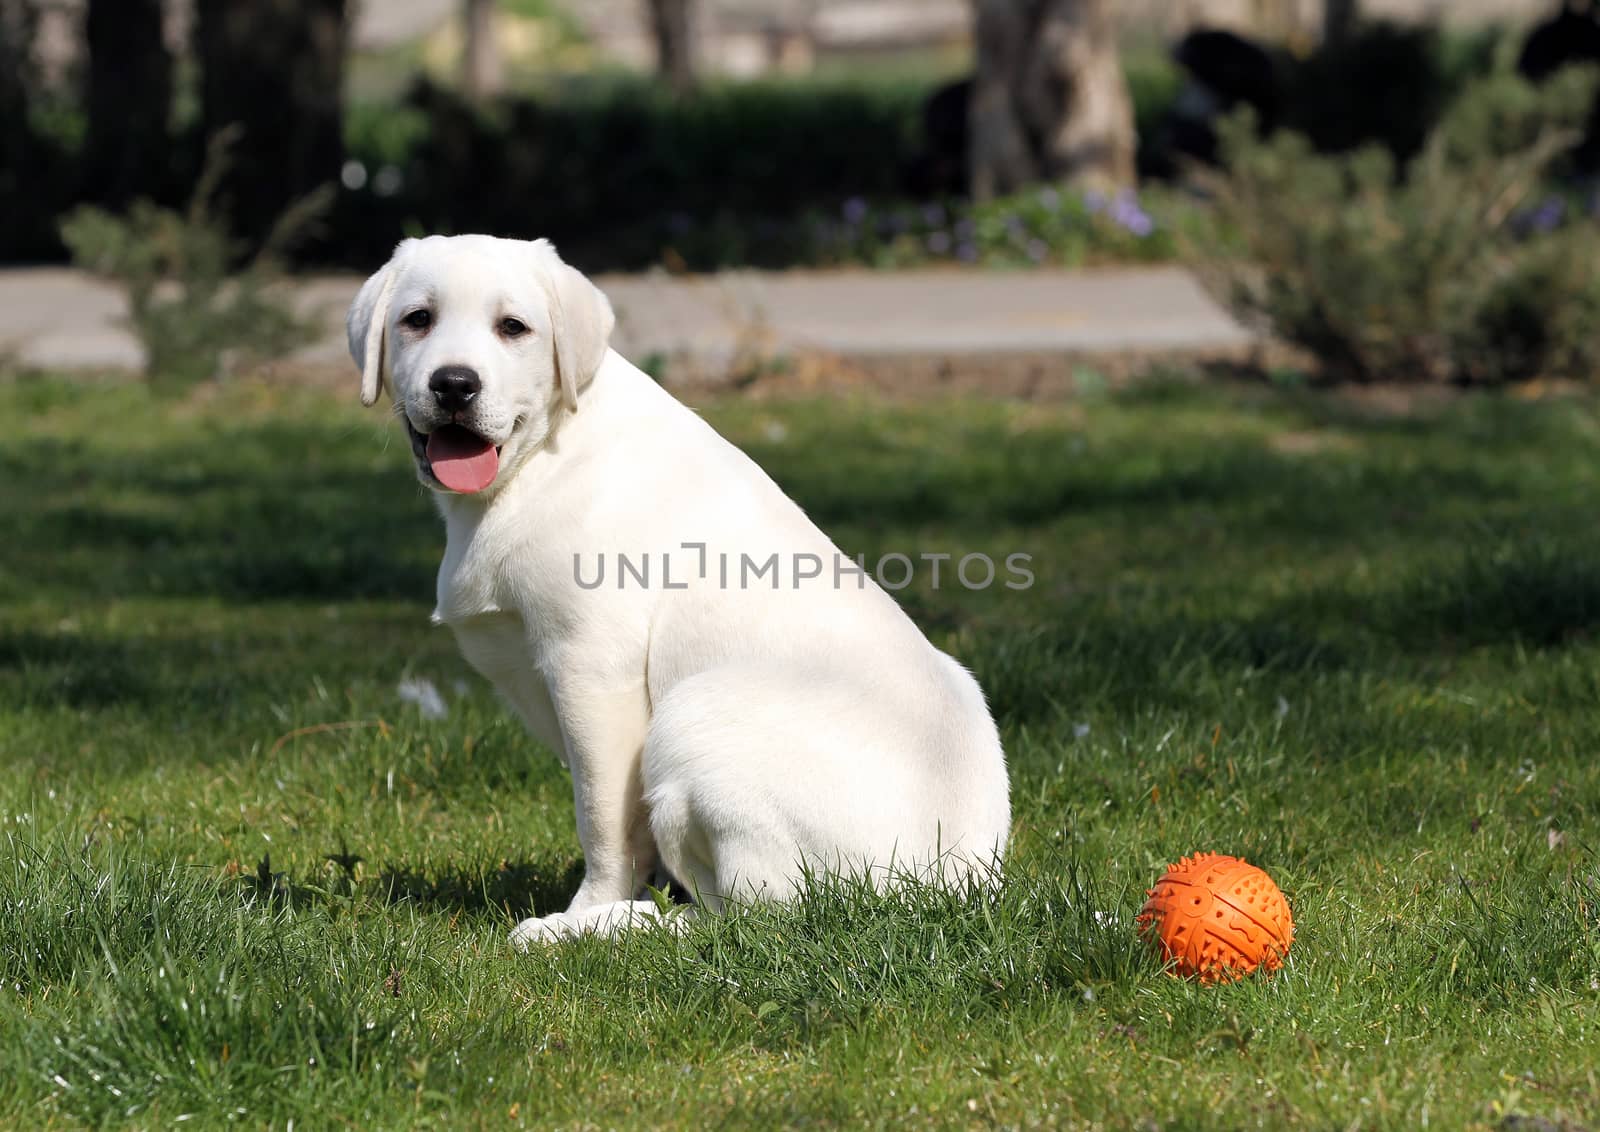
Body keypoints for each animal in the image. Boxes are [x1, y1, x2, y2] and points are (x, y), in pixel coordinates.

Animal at [347, 235, 1011, 940]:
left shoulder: (592, 670)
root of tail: (945, 887)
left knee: (751, 920)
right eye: (417, 319)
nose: (454, 384)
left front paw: (588, 908)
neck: (541, 458)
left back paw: (595, 929)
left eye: (513, 328)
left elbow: (603, 821)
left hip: (694, 715)